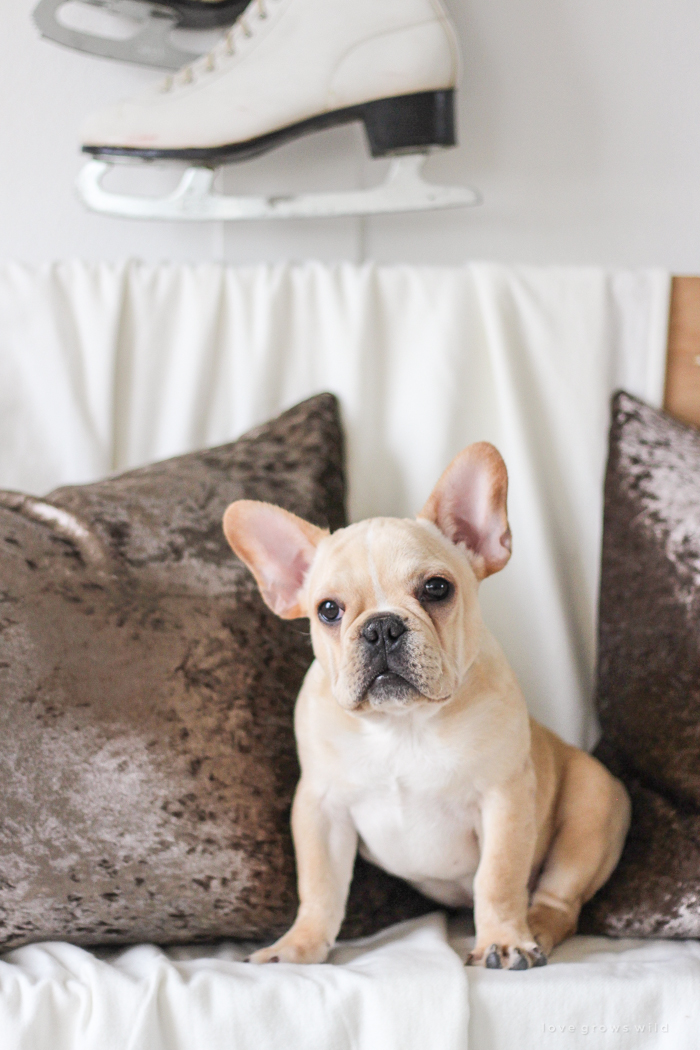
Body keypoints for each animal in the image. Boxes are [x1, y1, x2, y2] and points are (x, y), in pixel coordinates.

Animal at [223, 440, 629, 965]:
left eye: (437, 588)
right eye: (328, 610)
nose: (381, 626)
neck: (402, 724)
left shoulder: (503, 798)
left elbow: (498, 877)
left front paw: (501, 938)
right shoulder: (320, 810)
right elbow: (320, 886)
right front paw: (297, 945)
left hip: (592, 808)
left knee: (560, 899)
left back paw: (534, 929)